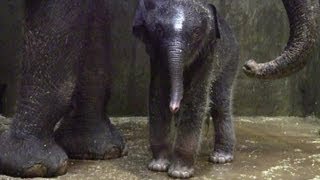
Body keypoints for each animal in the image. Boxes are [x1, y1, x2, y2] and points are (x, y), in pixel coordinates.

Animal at [132, 0, 240, 178]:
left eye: (196, 33)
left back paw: (220, 158)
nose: (174, 107)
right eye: (159, 31)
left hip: (230, 60)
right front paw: (158, 166)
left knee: (220, 103)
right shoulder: (156, 55)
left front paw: (179, 173)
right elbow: (158, 95)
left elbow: (196, 98)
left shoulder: (208, 53)